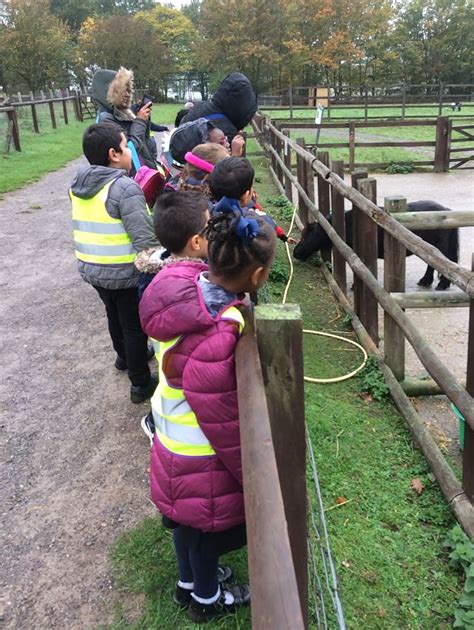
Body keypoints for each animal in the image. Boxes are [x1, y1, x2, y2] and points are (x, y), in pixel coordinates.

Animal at [292, 202, 460, 292]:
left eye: (307, 236)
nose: (295, 253)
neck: (350, 224)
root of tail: (446, 211)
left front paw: (355, 287)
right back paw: (426, 281)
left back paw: (440, 284)